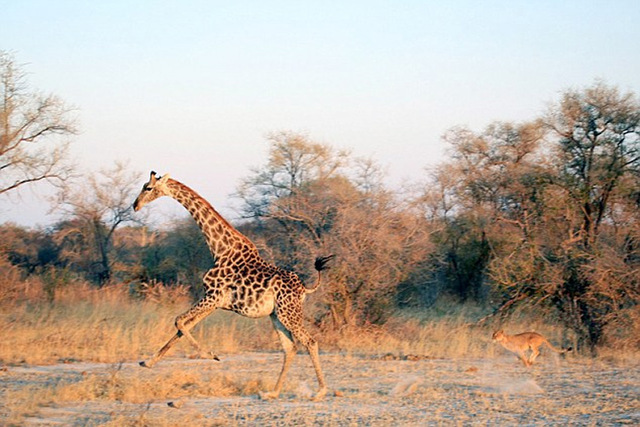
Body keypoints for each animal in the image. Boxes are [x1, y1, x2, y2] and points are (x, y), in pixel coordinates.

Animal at [131, 171, 332, 402]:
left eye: (148, 188)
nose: (135, 205)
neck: (219, 248)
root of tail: (304, 289)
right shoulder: (214, 301)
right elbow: (184, 326)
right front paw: (147, 362)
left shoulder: (213, 296)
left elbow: (179, 321)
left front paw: (212, 355)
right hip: (276, 315)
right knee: (290, 348)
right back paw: (272, 392)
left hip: (288, 312)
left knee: (310, 342)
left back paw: (319, 392)